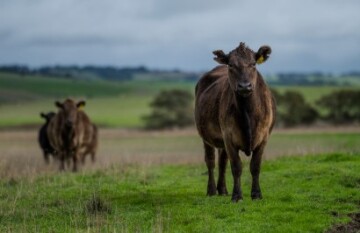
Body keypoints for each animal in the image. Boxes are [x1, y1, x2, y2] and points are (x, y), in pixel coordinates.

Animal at [194, 41, 276, 202]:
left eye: (253, 64)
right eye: (231, 65)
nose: (244, 86)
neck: (247, 113)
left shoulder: (263, 138)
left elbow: (255, 166)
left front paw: (256, 194)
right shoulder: (229, 137)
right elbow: (236, 167)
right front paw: (237, 195)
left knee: (222, 162)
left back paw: (223, 189)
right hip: (207, 138)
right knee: (211, 161)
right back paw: (212, 190)